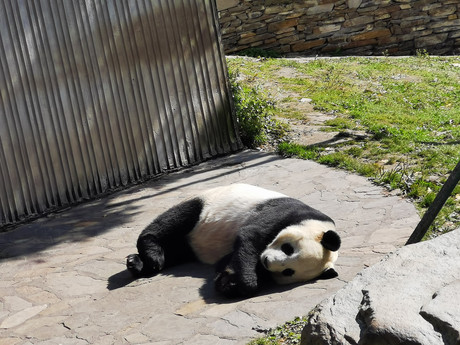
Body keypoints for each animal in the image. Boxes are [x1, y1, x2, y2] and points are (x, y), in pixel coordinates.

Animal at [126, 183, 342, 296]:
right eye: (288, 248)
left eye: (289, 271)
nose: (267, 261)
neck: (316, 223)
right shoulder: (285, 213)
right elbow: (251, 236)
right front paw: (235, 283)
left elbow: (233, 258)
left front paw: (227, 279)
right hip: (203, 205)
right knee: (173, 221)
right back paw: (152, 255)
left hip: (186, 246)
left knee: (175, 250)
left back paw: (137, 263)